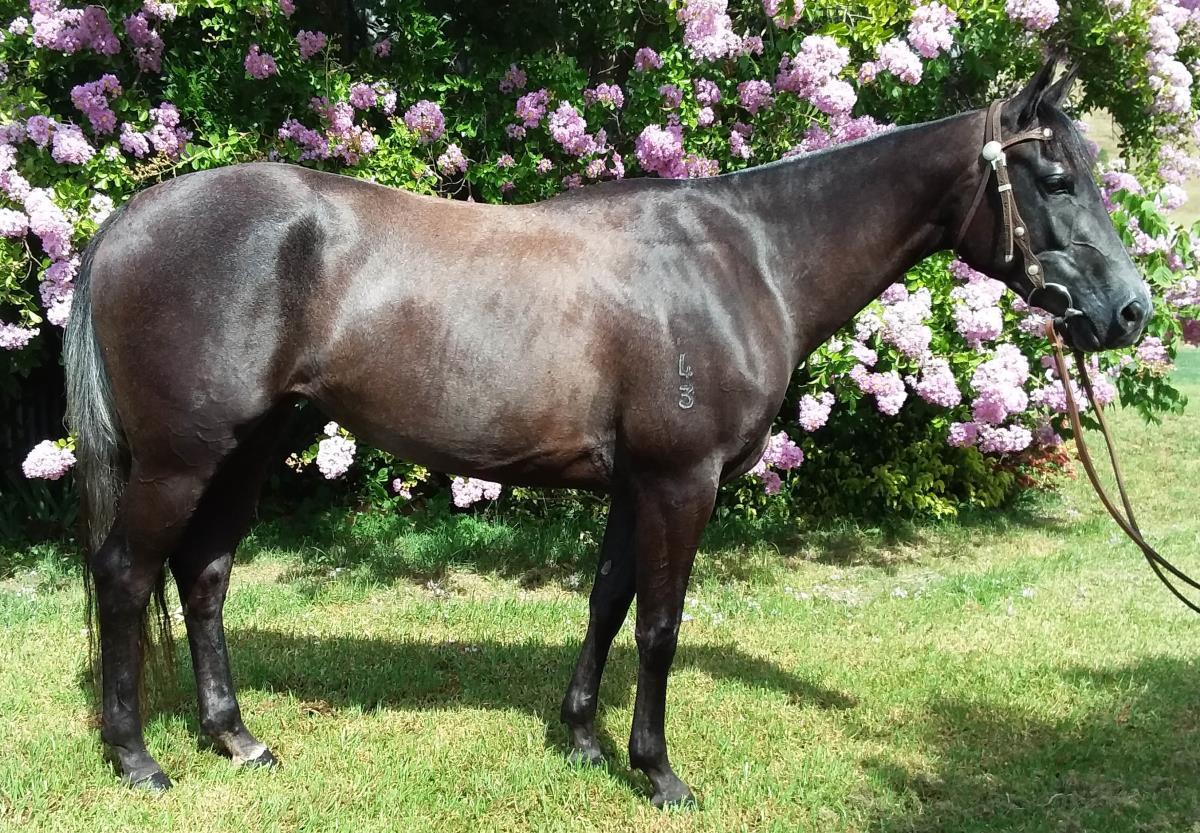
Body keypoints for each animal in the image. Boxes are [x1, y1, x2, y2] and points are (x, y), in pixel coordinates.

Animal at [64, 58, 1149, 807]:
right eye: (1053, 176)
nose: (1130, 312)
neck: (744, 258)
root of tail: (130, 221)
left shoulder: (636, 483)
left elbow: (608, 601)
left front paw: (583, 737)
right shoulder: (682, 480)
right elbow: (661, 624)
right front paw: (658, 771)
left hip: (248, 447)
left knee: (203, 574)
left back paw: (235, 736)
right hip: (181, 458)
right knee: (126, 574)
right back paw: (137, 757)